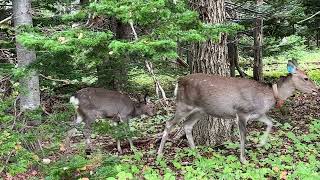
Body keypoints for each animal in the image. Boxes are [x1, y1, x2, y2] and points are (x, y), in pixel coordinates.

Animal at [158, 60, 318, 163]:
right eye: (306, 78)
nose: (317, 89)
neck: (269, 95)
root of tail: (178, 81)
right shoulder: (241, 112)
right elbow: (243, 137)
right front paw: (243, 159)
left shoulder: (257, 114)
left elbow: (271, 123)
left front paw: (260, 144)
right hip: (183, 105)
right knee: (169, 123)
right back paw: (159, 155)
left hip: (200, 110)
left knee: (187, 126)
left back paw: (196, 154)